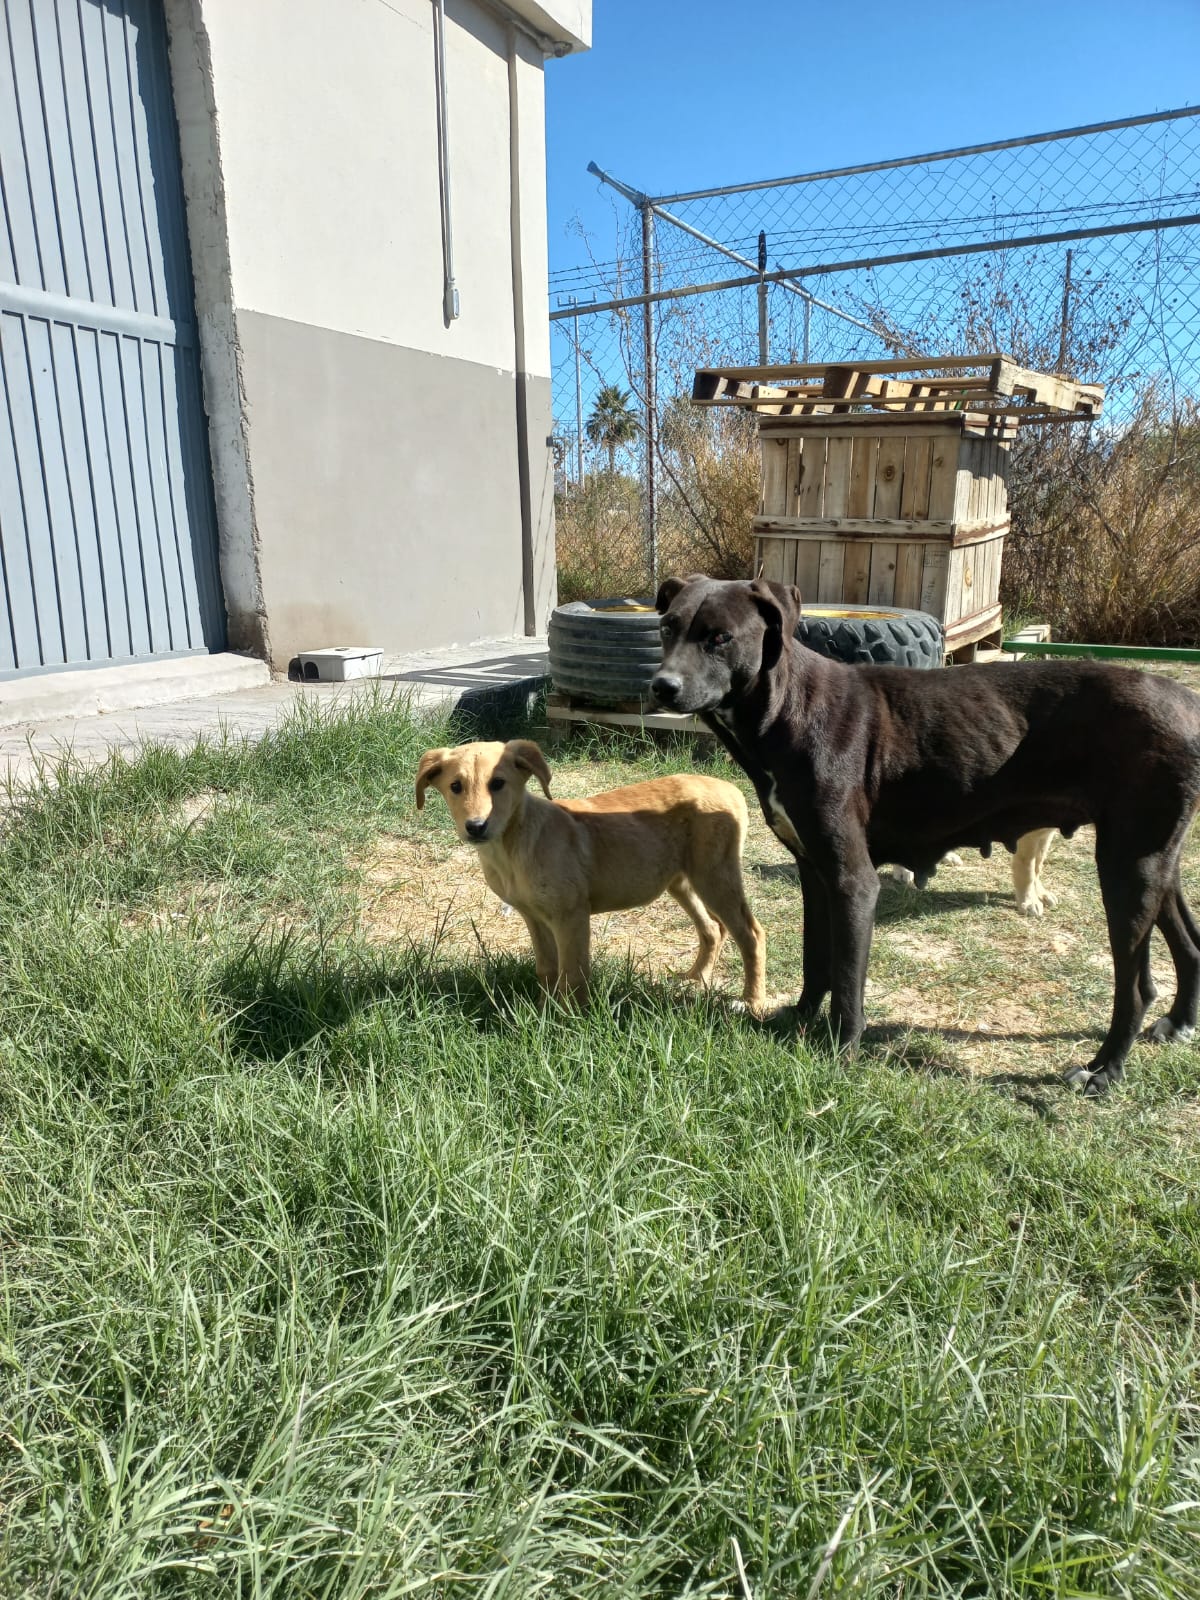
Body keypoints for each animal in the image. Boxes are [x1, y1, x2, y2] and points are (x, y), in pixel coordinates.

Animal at [419, 739, 764, 1011]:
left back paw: (751, 1001)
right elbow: (547, 968)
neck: (515, 845)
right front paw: (543, 1010)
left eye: (498, 783)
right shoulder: (533, 916)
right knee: (712, 929)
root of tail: (729, 787)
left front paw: (571, 1019)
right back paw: (695, 979)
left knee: (751, 934)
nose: (476, 827)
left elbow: (573, 973)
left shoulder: (571, 914)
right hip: (681, 881)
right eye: (455, 787)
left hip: (715, 876)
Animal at [652, 569, 1200, 1094]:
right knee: (1190, 944)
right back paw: (1177, 1023)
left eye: (720, 637)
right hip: (1155, 863)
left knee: (1136, 986)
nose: (661, 686)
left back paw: (1103, 1071)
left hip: (1128, 867)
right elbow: (816, 956)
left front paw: (841, 1050)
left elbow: (847, 978)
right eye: (667, 627)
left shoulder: (853, 882)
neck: (789, 708)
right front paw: (800, 1017)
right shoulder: (814, 871)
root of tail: (1185, 698)